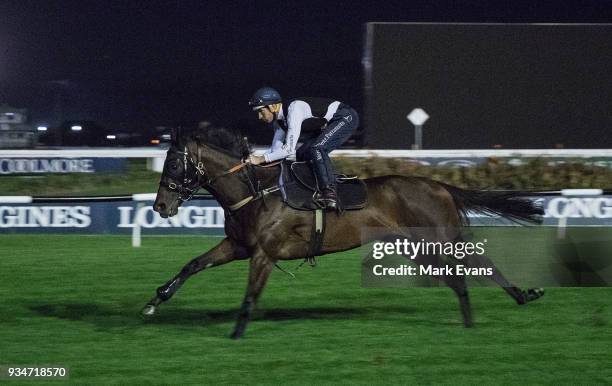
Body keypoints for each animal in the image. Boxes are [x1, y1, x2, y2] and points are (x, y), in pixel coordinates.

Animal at [145, 127, 544, 338]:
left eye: (175, 164)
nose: (160, 206)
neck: (256, 193)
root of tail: (439, 185)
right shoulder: (237, 245)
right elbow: (193, 265)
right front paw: (155, 301)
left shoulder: (264, 253)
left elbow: (251, 294)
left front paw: (237, 331)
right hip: (421, 243)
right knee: (478, 264)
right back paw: (522, 295)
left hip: (432, 241)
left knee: (465, 272)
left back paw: (474, 316)